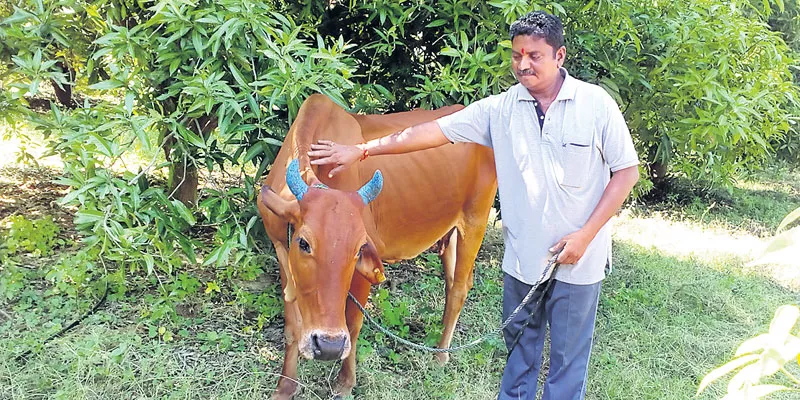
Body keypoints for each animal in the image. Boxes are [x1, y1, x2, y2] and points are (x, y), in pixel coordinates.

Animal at [260, 93, 496, 396]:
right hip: (451, 231)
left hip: (476, 219)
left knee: (459, 288)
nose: (328, 346)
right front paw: (286, 387)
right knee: (454, 280)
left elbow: (353, 324)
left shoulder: (364, 271)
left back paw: (441, 355)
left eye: (359, 249)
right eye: (304, 244)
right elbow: (292, 324)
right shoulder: (282, 252)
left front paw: (345, 383)